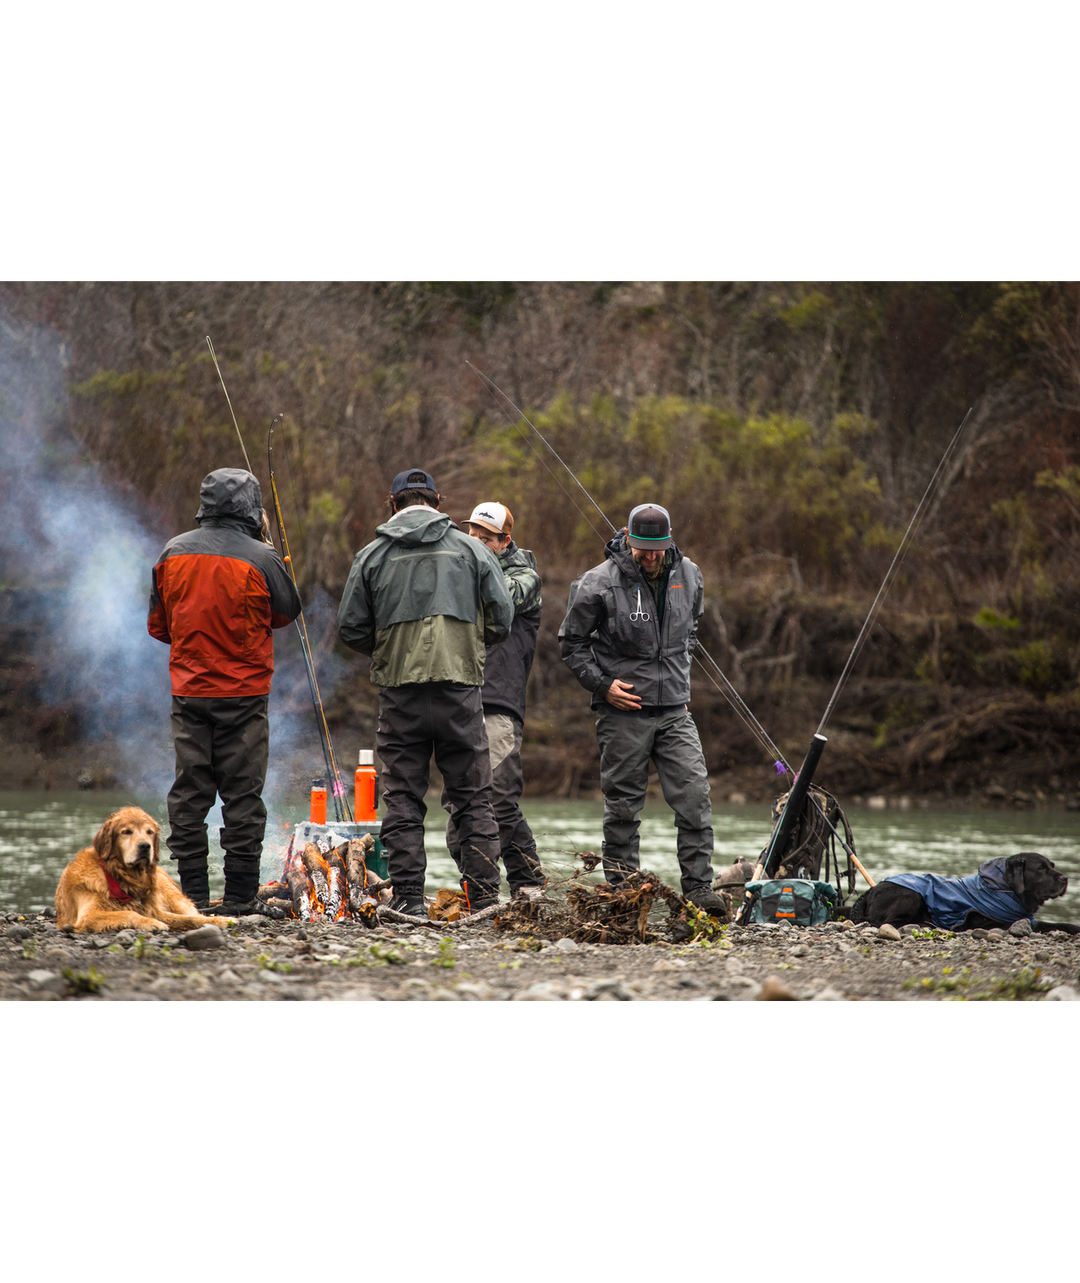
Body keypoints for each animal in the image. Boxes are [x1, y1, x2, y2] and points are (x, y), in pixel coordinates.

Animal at [56, 810, 233, 934]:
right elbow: (129, 914)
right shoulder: (88, 916)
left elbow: (189, 918)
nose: (145, 846)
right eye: (126, 832)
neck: (120, 878)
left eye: (150, 832)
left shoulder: (155, 910)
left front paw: (220, 921)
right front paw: (151, 923)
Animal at [846, 851, 1072, 934]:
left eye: (1052, 865)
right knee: (884, 922)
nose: (1065, 879)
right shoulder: (993, 921)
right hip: (912, 896)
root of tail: (870, 891)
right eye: (1040, 868)